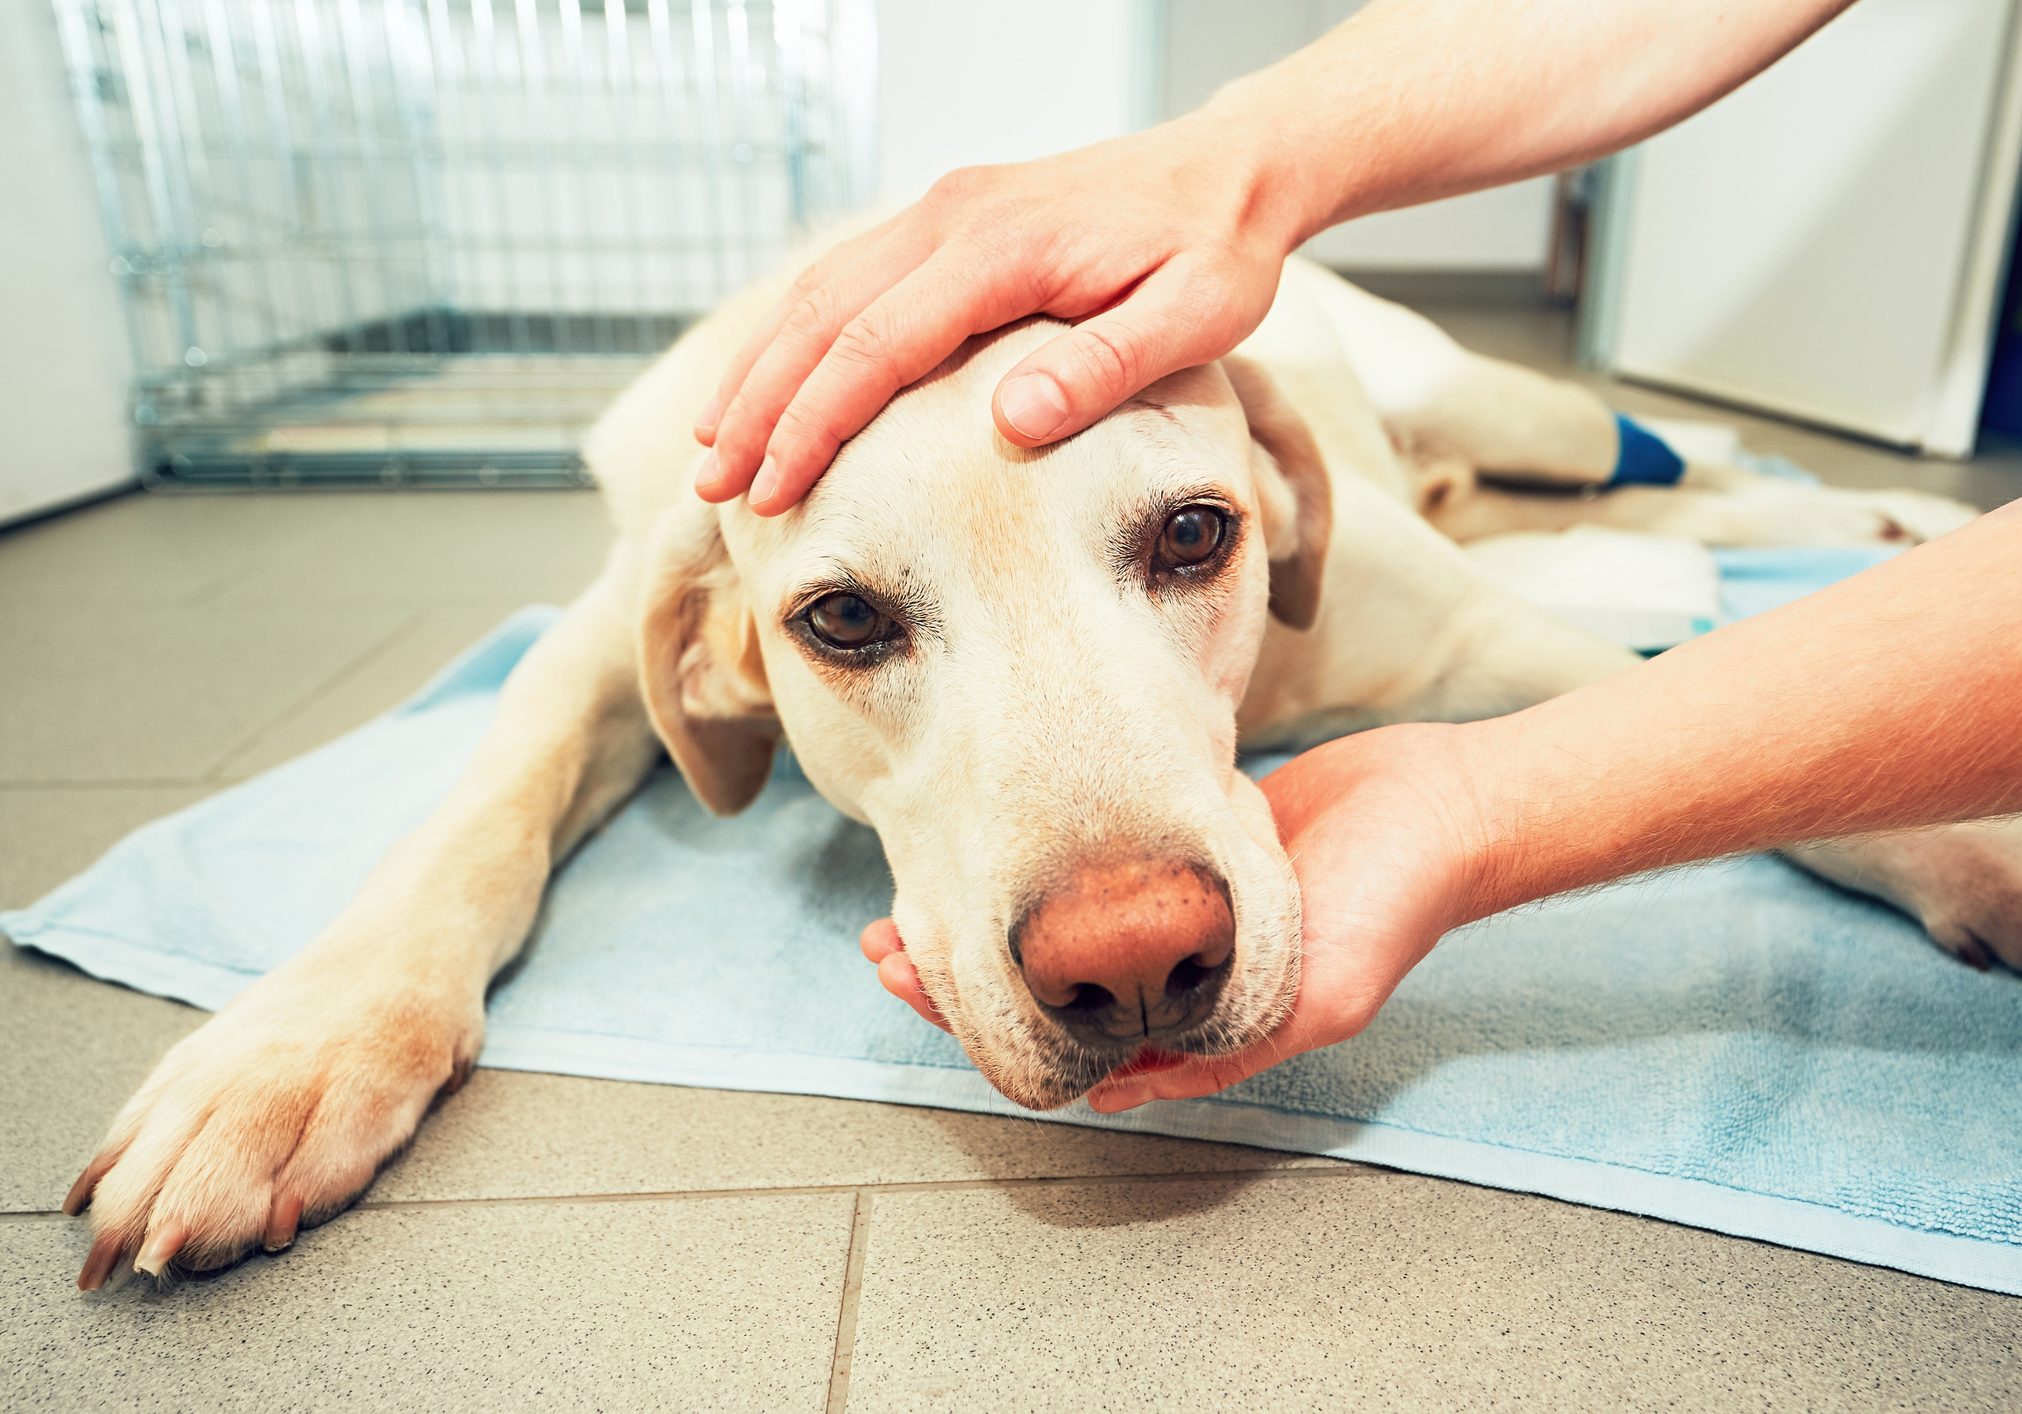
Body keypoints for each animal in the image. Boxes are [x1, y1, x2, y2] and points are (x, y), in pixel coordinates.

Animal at [63, 256, 2022, 1294]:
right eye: (841, 617)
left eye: (1194, 531)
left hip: (1490, 401)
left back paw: (1871, 505)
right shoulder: (600, 631)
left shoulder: (1489, 642)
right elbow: (475, 809)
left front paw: (1975, 845)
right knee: (1620, 501)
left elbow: (1764, 722)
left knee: (1660, 459)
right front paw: (293, 1052)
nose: (1136, 960)